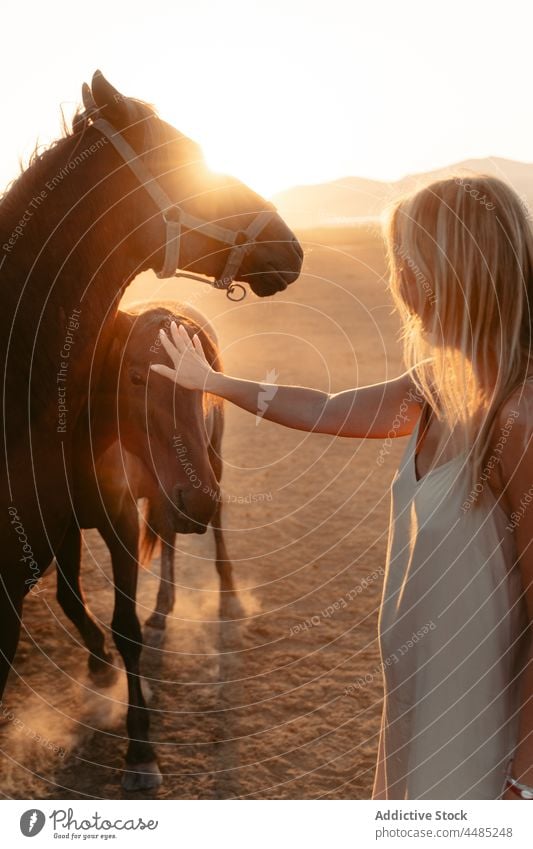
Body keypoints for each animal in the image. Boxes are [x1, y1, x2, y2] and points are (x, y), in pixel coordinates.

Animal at [54, 304, 229, 788]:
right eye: (135, 378)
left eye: (201, 381)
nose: (199, 500)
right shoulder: (63, 527)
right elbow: (68, 599)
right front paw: (99, 665)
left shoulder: (122, 524)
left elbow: (126, 629)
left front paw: (140, 751)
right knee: (169, 536)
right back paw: (162, 607)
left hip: (210, 463)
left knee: (216, 526)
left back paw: (227, 590)